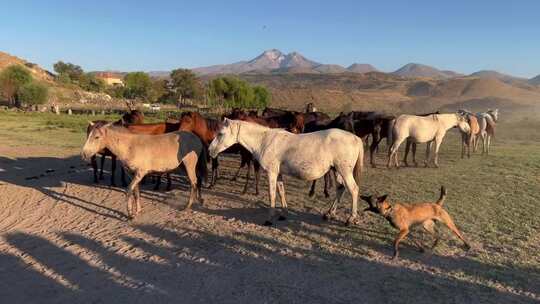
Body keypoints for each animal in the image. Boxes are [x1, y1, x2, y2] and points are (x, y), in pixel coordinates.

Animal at [209, 119, 364, 226]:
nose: (210, 151)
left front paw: (269, 219)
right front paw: (283, 214)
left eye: (221, 134)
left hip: (344, 171)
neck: (264, 141)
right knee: (341, 188)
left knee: (353, 189)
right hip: (337, 170)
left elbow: (272, 195)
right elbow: (281, 191)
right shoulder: (278, 174)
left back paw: (350, 219)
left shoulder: (271, 173)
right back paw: (329, 214)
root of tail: (356, 138)